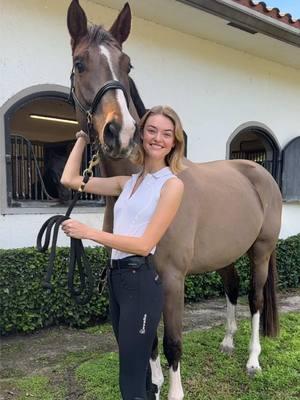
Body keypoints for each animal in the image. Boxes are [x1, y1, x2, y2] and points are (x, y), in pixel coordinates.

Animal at [67, 1, 282, 398]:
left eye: (127, 65)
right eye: (79, 63)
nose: (121, 133)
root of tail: (258, 173)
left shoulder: (171, 279)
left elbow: (172, 343)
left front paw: (174, 391)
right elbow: (150, 341)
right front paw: (153, 385)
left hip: (260, 252)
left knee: (255, 299)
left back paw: (252, 361)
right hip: (225, 254)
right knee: (231, 288)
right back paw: (227, 343)